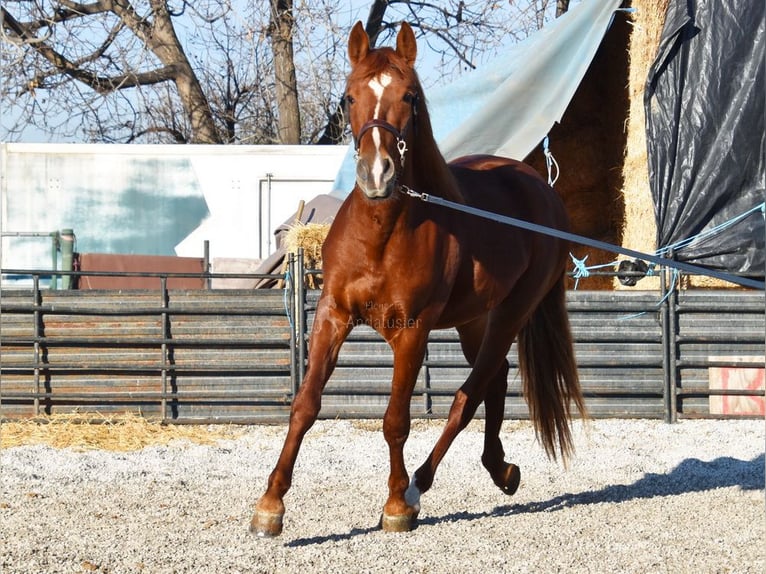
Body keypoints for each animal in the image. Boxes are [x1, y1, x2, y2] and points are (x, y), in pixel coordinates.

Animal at [254, 20, 588, 536]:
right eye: (349, 97)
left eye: (409, 96)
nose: (376, 174)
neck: (382, 233)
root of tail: (541, 191)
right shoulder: (332, 315)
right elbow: (305, 405)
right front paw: (270, 504)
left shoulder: (411, 332)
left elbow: (396, 420)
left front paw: (395, 504)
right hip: (474, 319)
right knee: (494, 379)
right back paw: (500, 470)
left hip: (511, 314)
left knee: (469, 395)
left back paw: (419, 485)